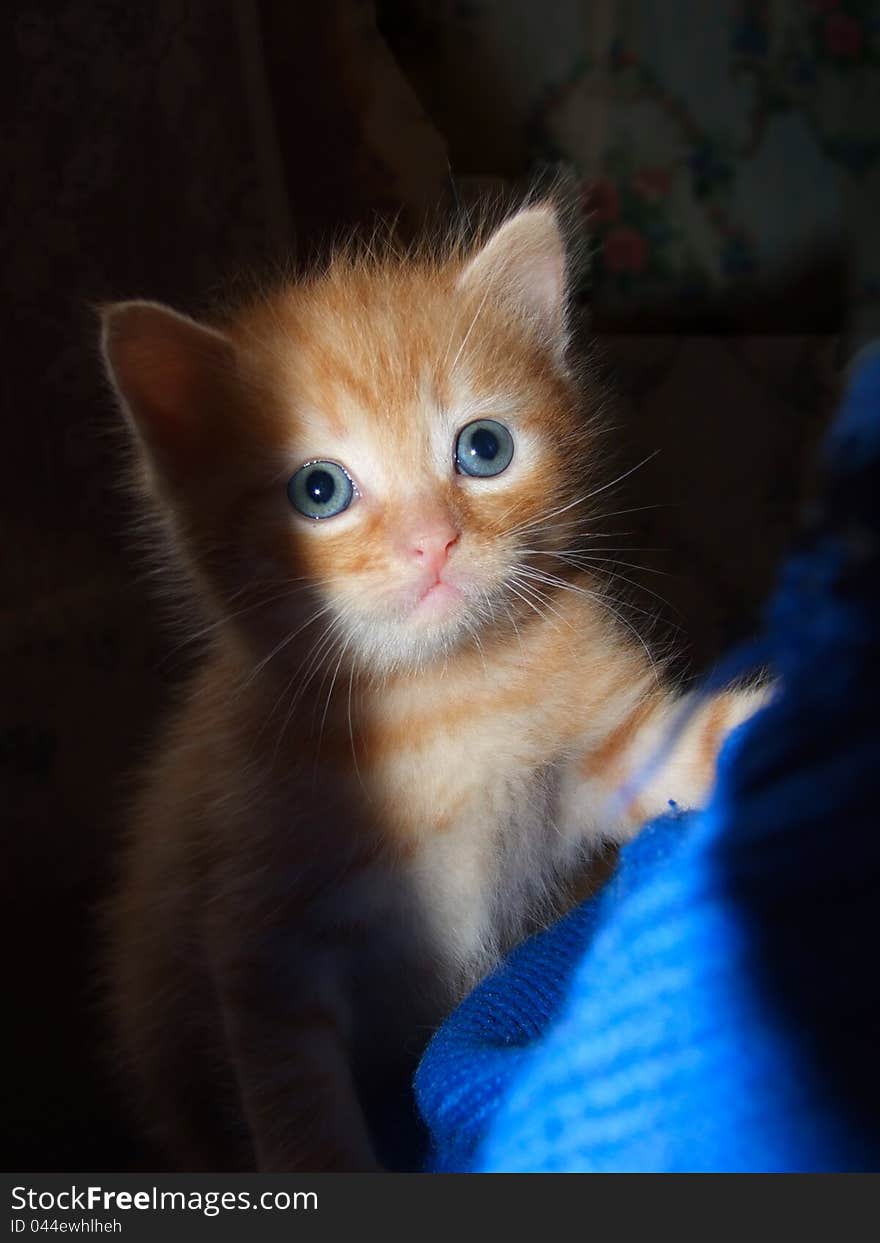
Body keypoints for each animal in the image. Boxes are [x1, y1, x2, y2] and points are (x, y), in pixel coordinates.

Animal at [101, 198, 760, 1168]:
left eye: (484, 448)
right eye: (319, 489)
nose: (433, 541)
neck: (439, 697)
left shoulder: (614, 748)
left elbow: (704, 746)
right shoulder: (265, 952)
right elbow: (302, 1113)